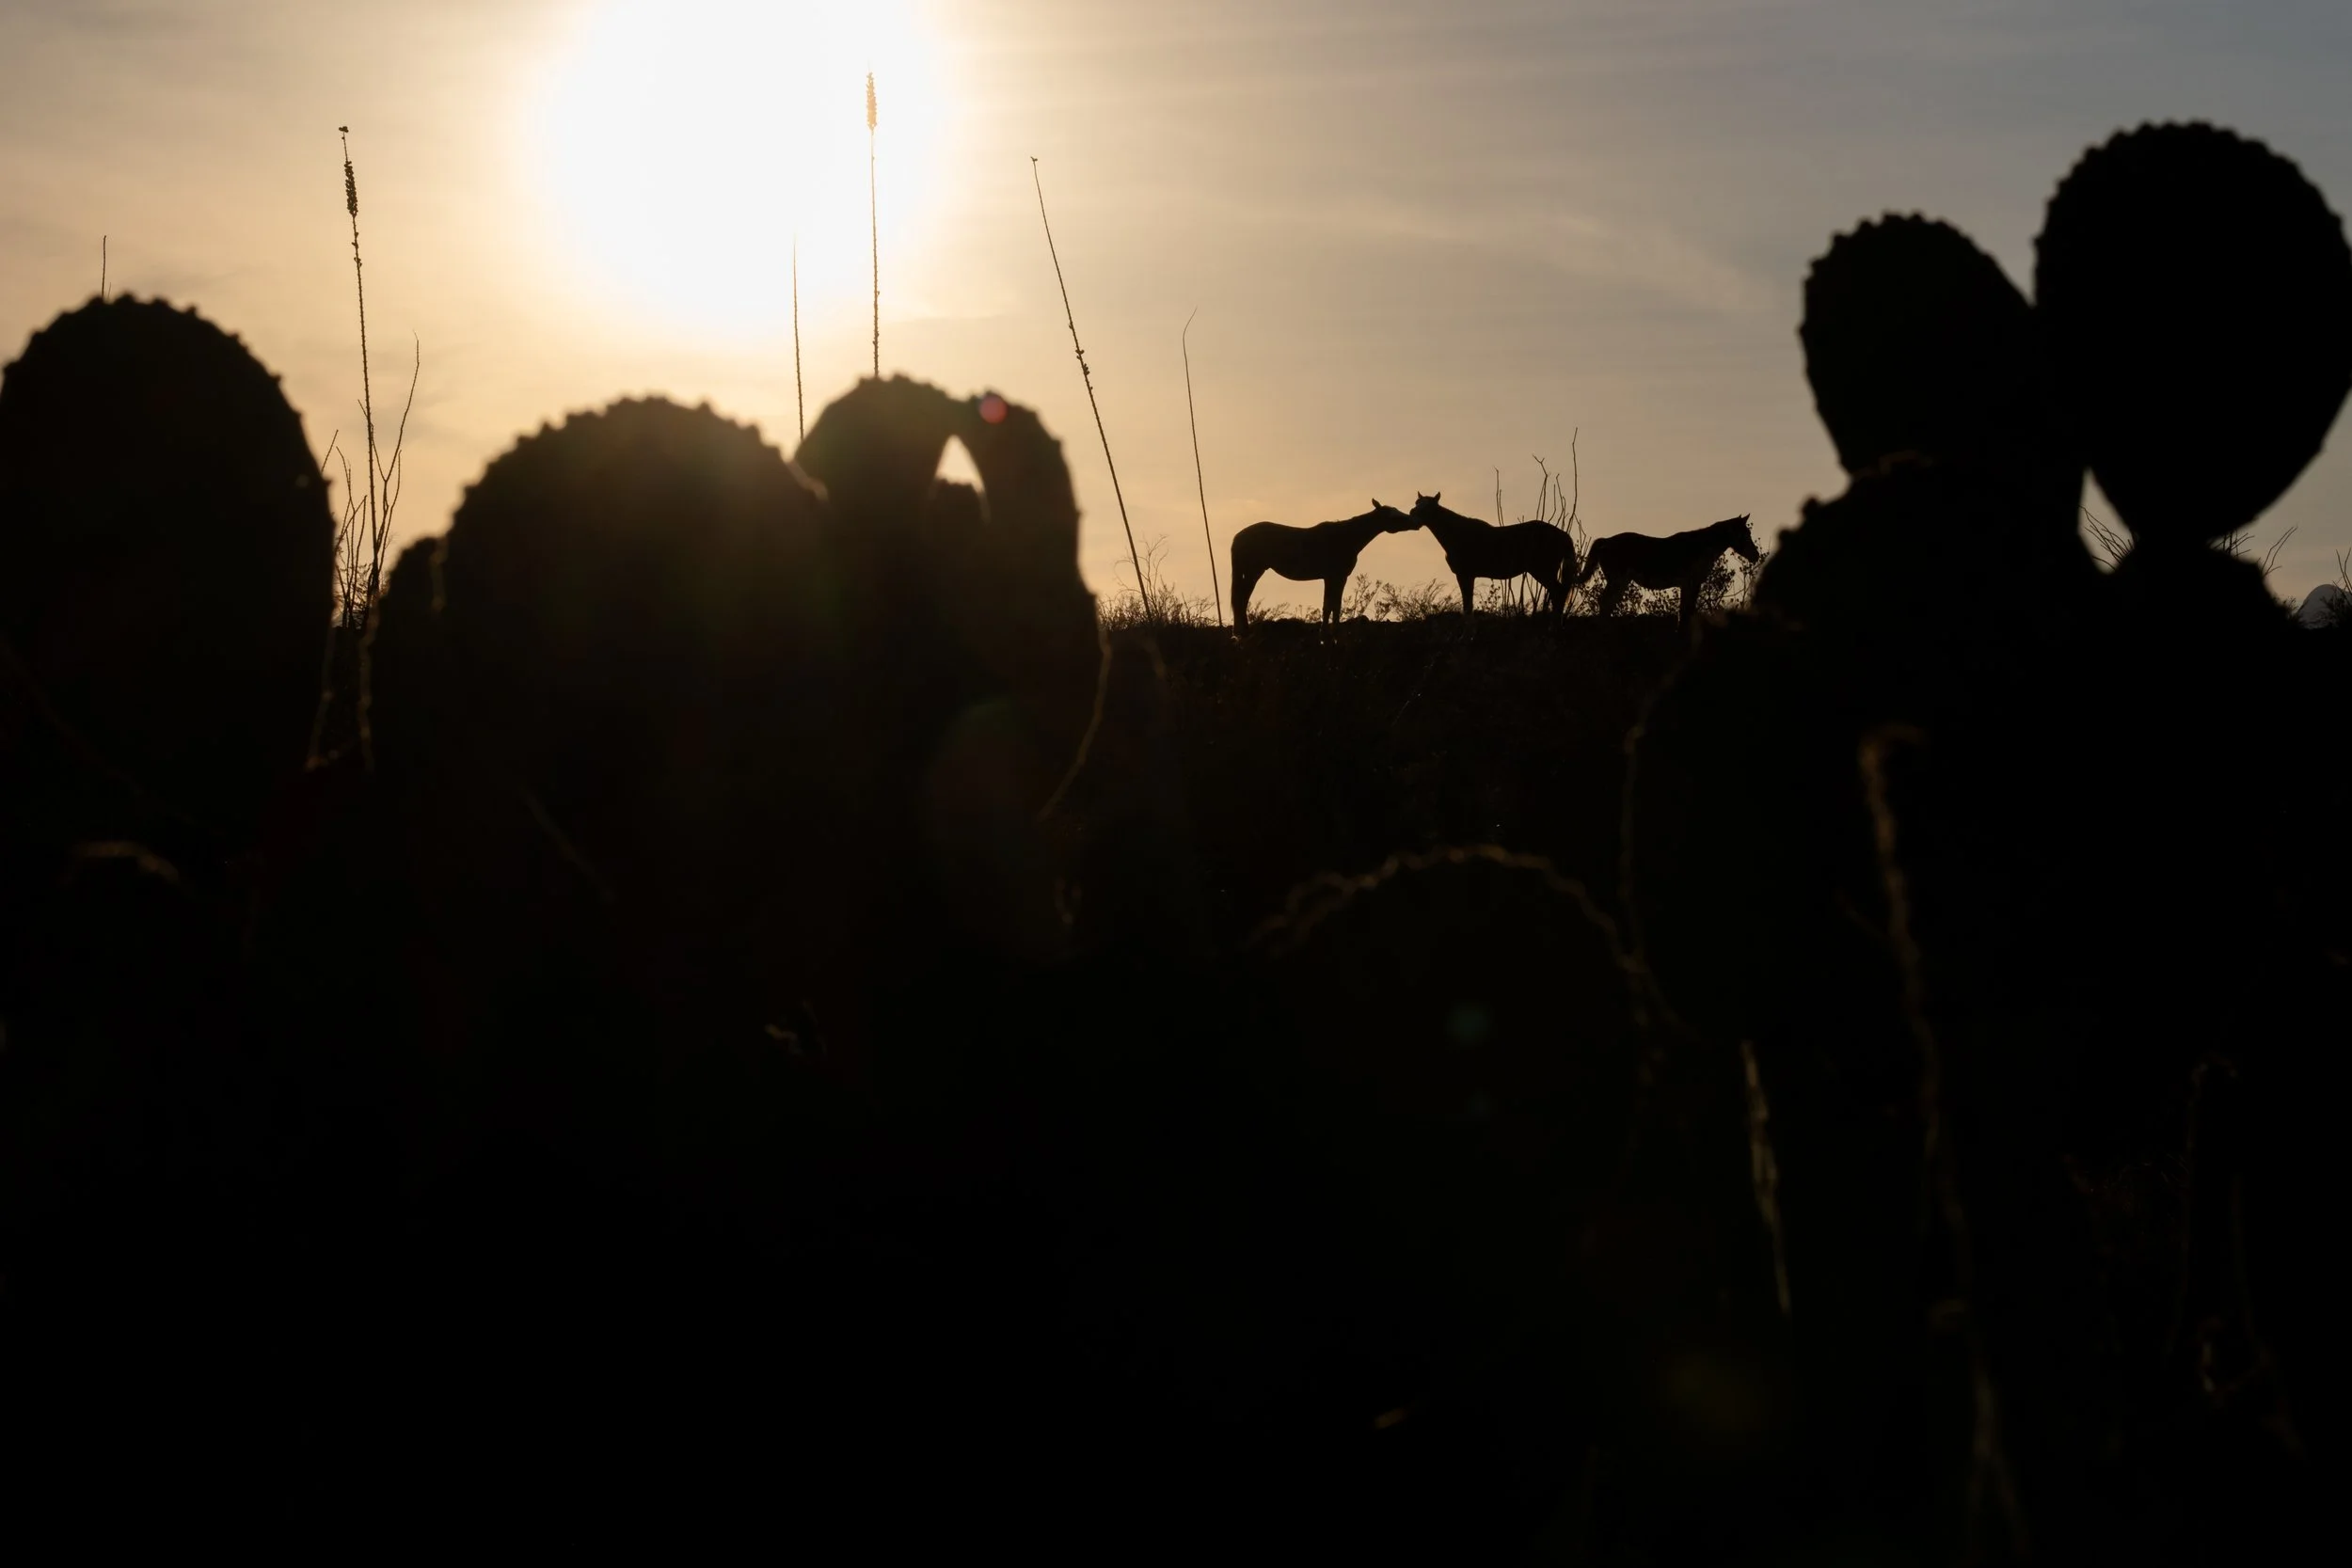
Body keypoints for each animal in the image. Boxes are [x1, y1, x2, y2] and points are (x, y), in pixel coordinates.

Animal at [1229, 501, 1418, 626]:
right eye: (1394, 517)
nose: (1415, 521)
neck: (1345, 538)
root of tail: (1238, 537)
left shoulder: (1335, 578)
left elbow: (1333, 605)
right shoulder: (1335, 576)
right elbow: (1330, 605)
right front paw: (1328, 637)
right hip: (1254, 571)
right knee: (1241, 598)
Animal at [1408, 493, 1579, 617]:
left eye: (1429, 506)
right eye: (1417, 502)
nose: (1412, 513)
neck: (1459, 534)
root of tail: (1563, 535)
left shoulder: (1465, 575)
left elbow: (1468, 607)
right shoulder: (1467, 576)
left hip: (1543, 571)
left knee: (1558, 593)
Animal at [1577, 515, 1759, 626]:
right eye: (1744, 534)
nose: (1755, 555)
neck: (1701, 547)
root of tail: (1606, 541)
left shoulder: (1689, 585)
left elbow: (1686, 610)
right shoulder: (1691, 583)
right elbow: (1686, 611)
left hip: (1619, 581)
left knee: (1608, 602)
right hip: (1618, 579)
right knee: (1605, 601)